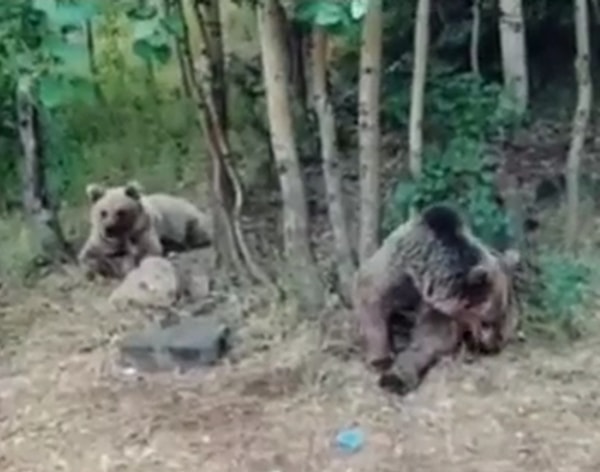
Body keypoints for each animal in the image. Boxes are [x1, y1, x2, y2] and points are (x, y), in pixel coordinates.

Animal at [78, 179, 212, 278]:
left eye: (120, 212)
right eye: (103, 212)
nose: (108, 229)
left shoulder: (143, 231)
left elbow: (149, 251)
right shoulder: (100, 241)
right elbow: (88, 256)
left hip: (189, 220)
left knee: (194, 234)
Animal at [354, 203, 524, 394]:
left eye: (500, 312)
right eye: (488, 320)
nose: (496, 342)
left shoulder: (437, 306)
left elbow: (430, 336)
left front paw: (397, 376)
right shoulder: (394, 272)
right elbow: (372, 299)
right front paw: (380, 359)